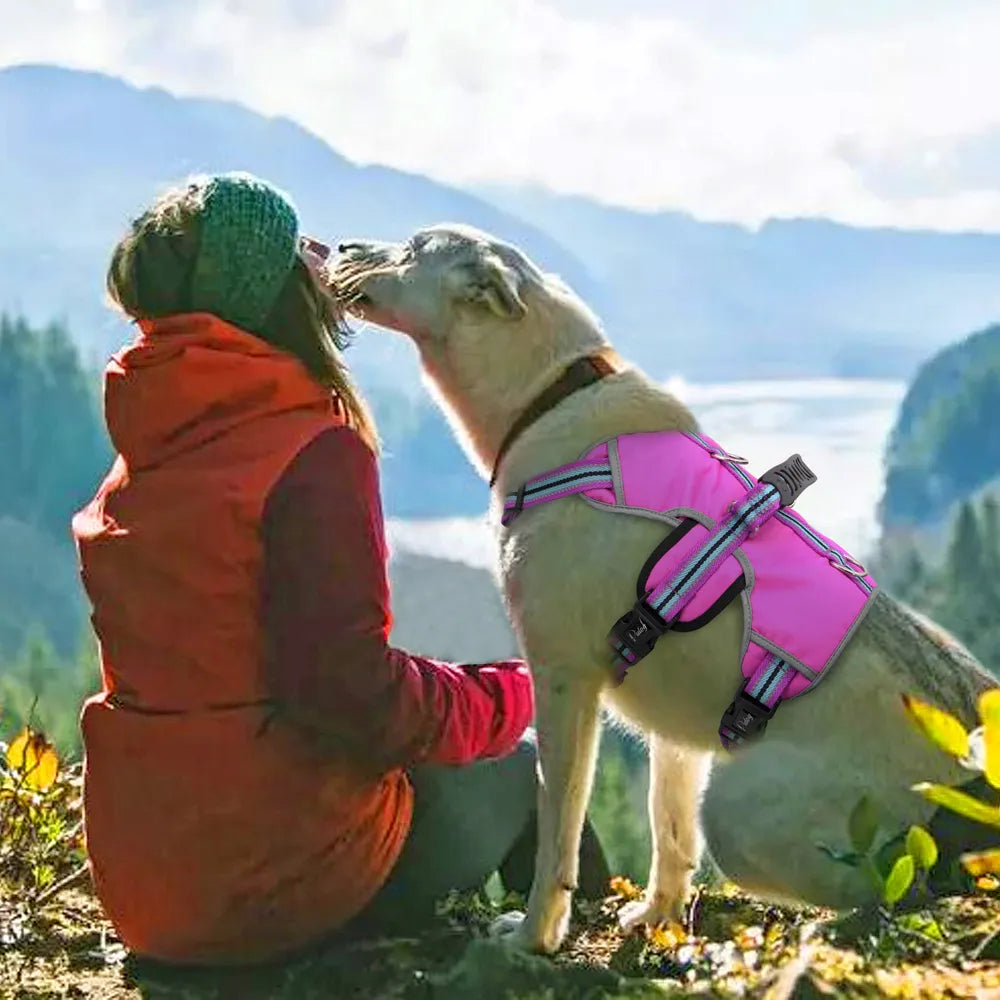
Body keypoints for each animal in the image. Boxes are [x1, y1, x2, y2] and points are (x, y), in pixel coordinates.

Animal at [334, 225, 992, 952]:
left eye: (414, 244)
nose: (340, 245)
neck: (549, 398)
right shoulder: (670, 723)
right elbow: (666, 828)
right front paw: (659, 918)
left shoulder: (564, 681)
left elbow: (558, 830)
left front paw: (535, 934)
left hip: (740, 808)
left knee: (897, 890)